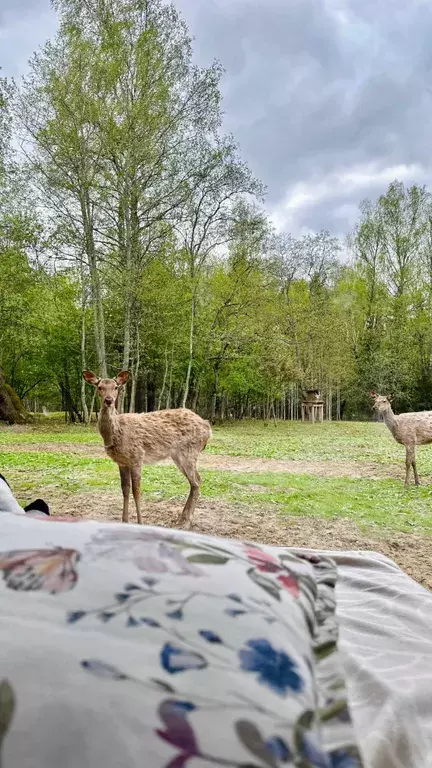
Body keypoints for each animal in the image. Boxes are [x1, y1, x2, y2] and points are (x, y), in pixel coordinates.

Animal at [82, 372, 211, 528]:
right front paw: (124, 520)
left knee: (197, 480)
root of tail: (208, 427)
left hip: (189, 451)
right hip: (178, 455)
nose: (108, 400)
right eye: (99, 387)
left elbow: (136, 490)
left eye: (116, 387)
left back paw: (186, 522)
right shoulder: (122, 462)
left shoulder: (137, 456)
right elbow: (125, 489)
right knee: (194, 482)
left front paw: (140, 522)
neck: (117, 432)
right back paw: (181, 519)